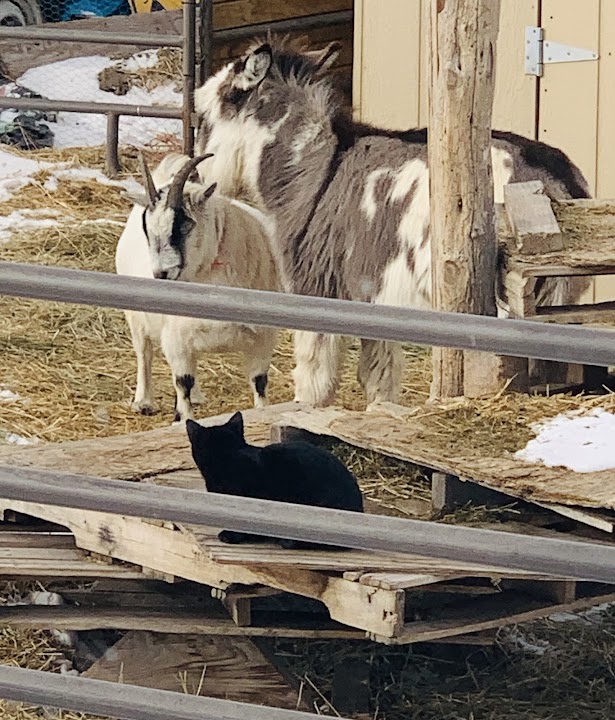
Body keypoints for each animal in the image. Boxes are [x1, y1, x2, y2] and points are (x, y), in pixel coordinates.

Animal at [115, 153, 282, 422]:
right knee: (144, 352)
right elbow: (182, 382)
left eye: (185, 225)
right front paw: (182, 418)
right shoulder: (175, 339)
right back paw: (144, 401)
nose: (161, 274)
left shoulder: (263, 338)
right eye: (147, 230)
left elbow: (259, 383)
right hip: (136, 317)